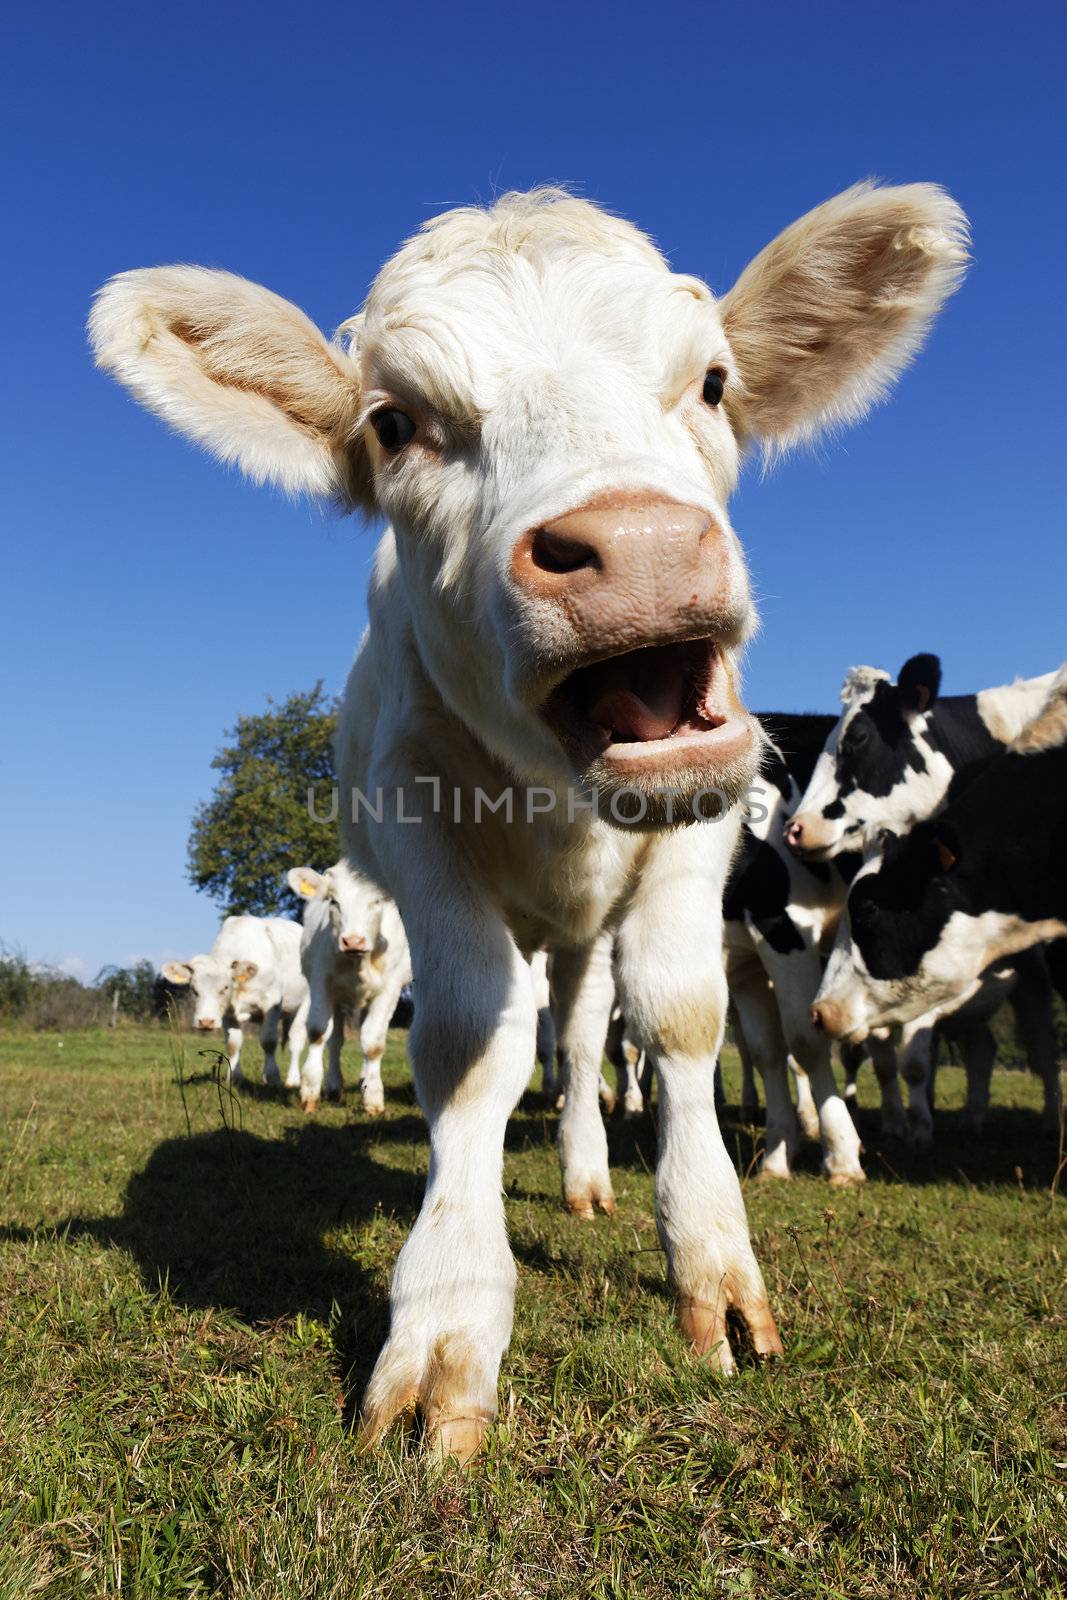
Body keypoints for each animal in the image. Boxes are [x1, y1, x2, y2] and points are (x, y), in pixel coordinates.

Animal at [160, 915, 307, 1088]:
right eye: (194, 989)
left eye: (225, 987)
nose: (206, 1022)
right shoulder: (227, 1013)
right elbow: (233, 1044)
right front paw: (234, 1078)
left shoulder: (272, 1002)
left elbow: (268, 1041)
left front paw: (272, 1078)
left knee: (296, 1040)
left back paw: (293, 1080)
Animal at [287, 864, 412, 1113]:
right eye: (334, 901)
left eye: (377, 901)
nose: (353, 941)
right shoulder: (321, 982)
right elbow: (318, 1032)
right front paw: (309, 1092)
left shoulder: (389, 988)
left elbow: (372, 1043)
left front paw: (373, 1098)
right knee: (335, 1041)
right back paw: (334, 1087)